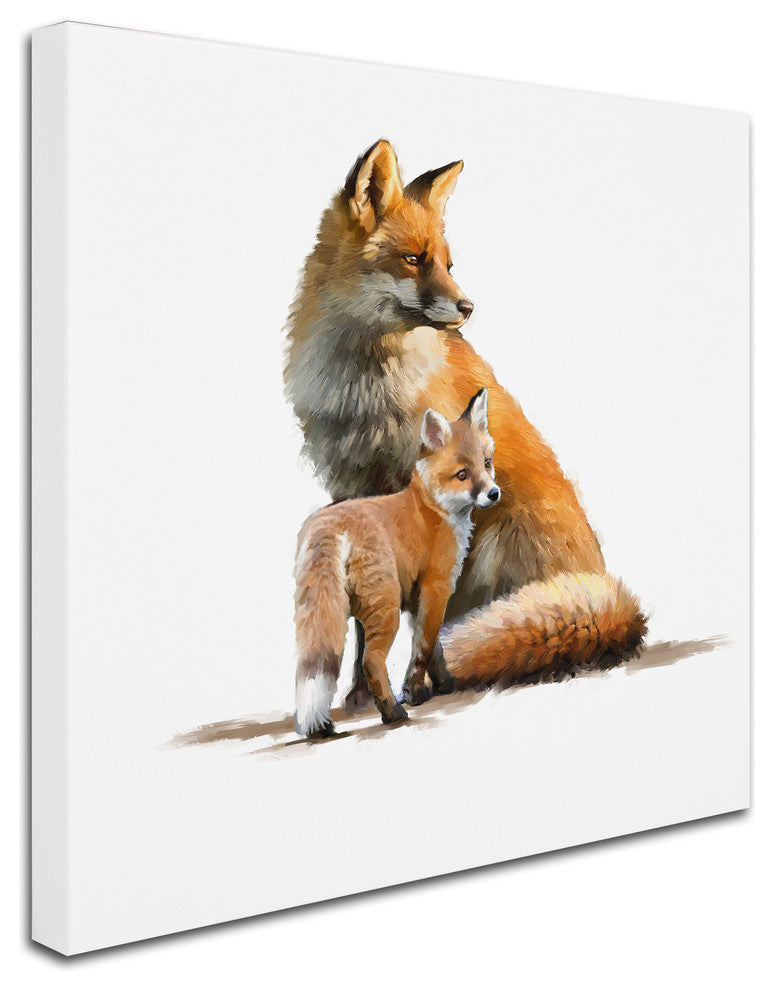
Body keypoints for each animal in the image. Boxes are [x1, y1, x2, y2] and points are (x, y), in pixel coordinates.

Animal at [294, 391, 498, 738]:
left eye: (486, 463)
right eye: (462, 475)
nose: (494, 493)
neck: (432, 507)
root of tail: (329, 524)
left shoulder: (418, 597)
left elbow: (432, 648)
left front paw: (443, 684)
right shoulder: (436, 585)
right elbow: (424, 647)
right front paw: (414, 693)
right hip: (385, 608)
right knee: (371, 661)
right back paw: (392, 712)